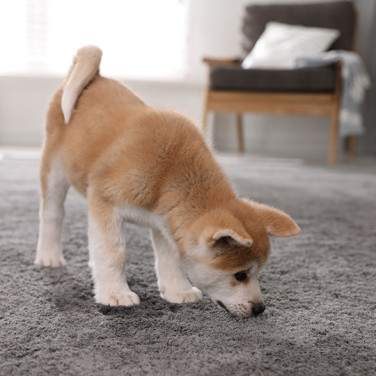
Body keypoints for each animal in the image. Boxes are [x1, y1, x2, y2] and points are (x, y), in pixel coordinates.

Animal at [34, 47, 300, 318]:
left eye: (258, 272)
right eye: (240, 275)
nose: (259, 308)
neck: (168, 173)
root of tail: (96, 77)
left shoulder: (166, 222)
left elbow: (170, 260)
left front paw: (177, 291)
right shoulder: (104, 201)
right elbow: (114, 253)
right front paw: (115, 294)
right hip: (55, 169)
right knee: (53, 214)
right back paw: (49, 256)